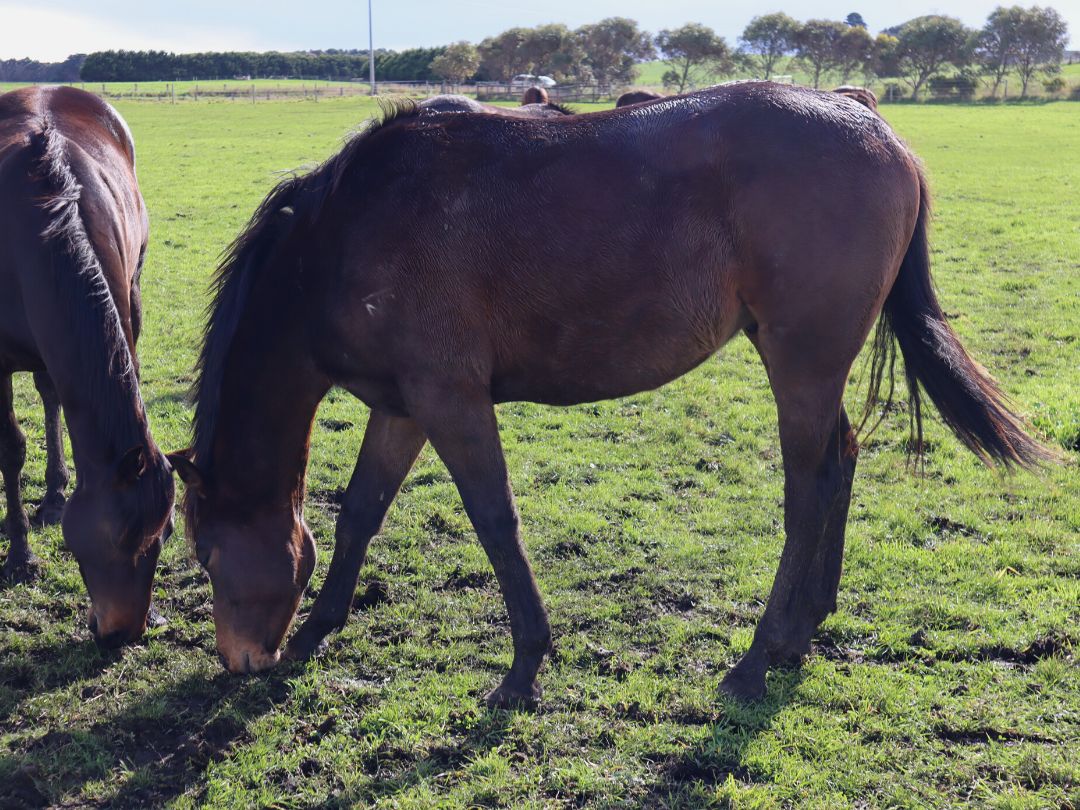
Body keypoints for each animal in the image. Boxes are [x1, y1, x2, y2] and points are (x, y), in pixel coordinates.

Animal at [0, 85, 174, 652]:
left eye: (165, 534)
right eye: (117, 537)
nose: (124, 633)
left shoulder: (126, 309)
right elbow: (11, 448)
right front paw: (21, 556)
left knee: (52, 392)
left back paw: (56, 491)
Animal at [170, 79, 1054, 708]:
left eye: (207, 553)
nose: (241, 661)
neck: (345, 236)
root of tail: (866, 118)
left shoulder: (450, 397)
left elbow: (494, 519)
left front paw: (525, 662)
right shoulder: (401, 404)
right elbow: (359, 512)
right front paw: (319, 629)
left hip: (801, 360)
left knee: (808, 489)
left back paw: (756, 657)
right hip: (810, 361)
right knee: (842, 459)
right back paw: (803, 628)